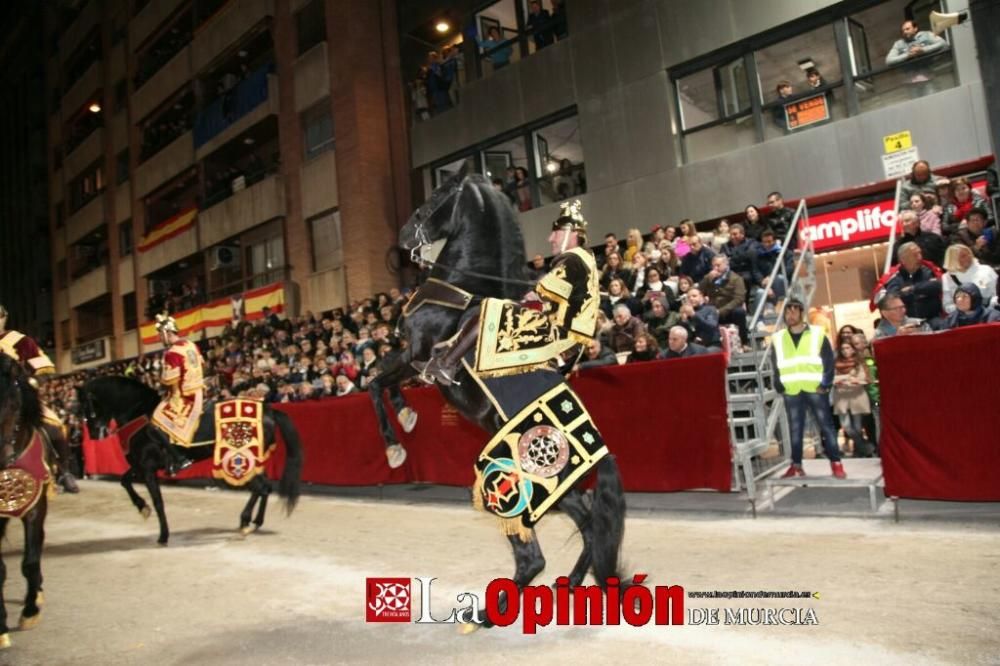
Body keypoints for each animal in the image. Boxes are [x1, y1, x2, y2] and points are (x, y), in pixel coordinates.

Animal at [78, 376, 300, 544]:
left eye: (87, 406)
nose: (94, 434)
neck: (137, 416)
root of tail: (268, 410)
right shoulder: (140, 466)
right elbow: (125, 481)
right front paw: (142, 507)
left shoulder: (148, 468)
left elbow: (158, 501)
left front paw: (163, 535)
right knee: (265, 486)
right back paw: (254, 522)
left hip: (238, 459)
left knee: (261, 487)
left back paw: (245, 522)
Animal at [388, 169, 624, 624]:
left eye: (437, 195)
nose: (405, 236)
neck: (464, 284)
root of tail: (594, 444)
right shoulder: (409, 358)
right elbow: (379, 383)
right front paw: (403, 427)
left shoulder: (413, 354)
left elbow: (377, 383)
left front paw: (398, 437)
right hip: (559, 490)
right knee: (591, 527)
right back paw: (567, 585)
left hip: (515, 477)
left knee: (539, 550)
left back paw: (490, 610)